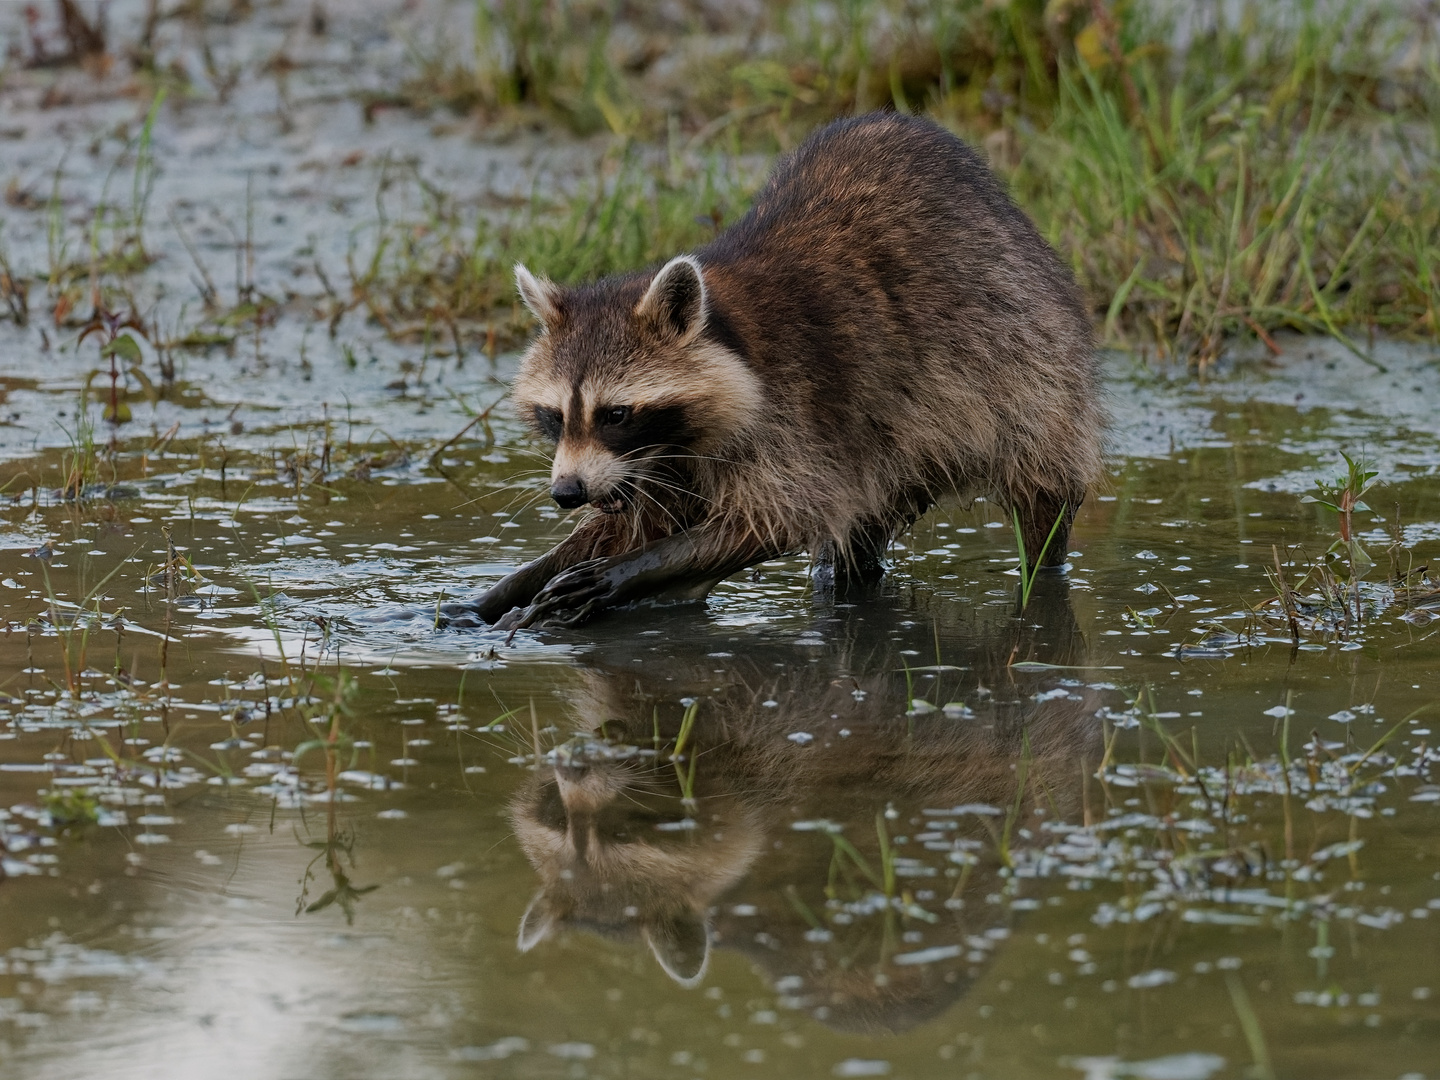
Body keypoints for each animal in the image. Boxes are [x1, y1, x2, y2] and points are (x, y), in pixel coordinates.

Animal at [466, 110, 1094, 630]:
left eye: (615, 414)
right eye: (554, 415)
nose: (567, 493)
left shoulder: (796, 412)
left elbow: (777, 518)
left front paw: (630, 572)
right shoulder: (654, 464)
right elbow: (630, 524)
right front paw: (507, 587)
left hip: (1028, 371)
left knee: (1040, 490)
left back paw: (1042, 574)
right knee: (860, 530)